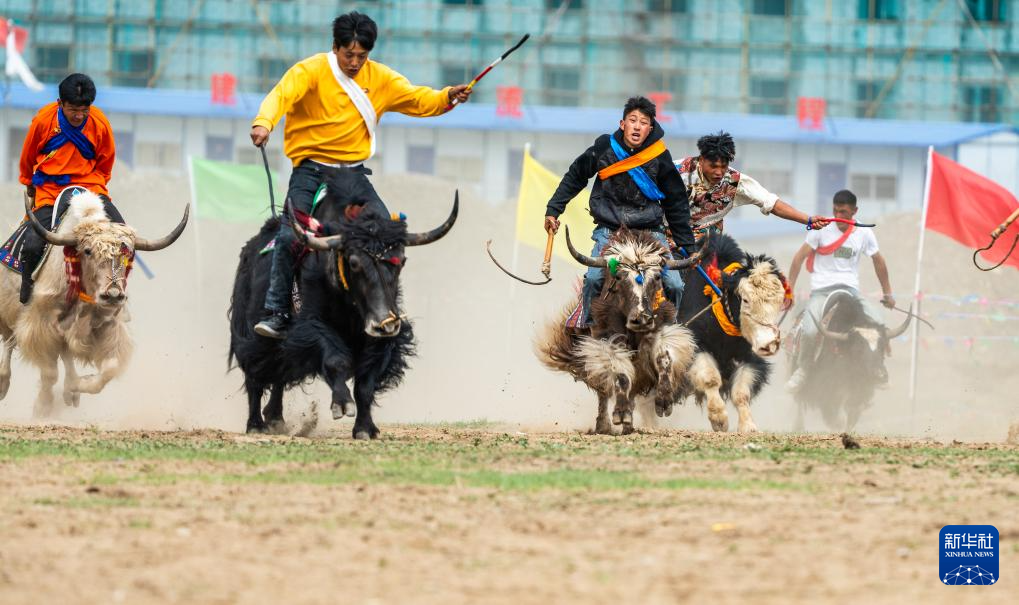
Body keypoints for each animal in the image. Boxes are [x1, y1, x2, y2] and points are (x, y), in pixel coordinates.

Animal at [0, 191, 189, 416]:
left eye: (129, 254)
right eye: (88, 251)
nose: (113, 295)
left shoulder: (108, 325)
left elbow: (109, 369)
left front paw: (76, 386)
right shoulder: (41, 325)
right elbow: (49, 371)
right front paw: (43, 406)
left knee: (65, 356)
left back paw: (70, 391)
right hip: (9, 312)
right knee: (9, 342)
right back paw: (3, 384)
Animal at [228, 168, 457, 439]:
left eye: (401, 261)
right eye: (354, 263)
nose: (384, 325)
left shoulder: (380, 338)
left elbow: (366, 383)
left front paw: (365, 429)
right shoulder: (308, 326)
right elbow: (335, 359)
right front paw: (343, 404)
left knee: (279, 377)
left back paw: (275, 419)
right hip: (251, 334)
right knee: (256, 375)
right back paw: (256, 425)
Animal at [536, 226, 704, 435]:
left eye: (657, 277)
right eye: (619, 278)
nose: (641, 319)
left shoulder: (661, 331)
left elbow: (664, 359)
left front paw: (664, 401)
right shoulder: (609, 340)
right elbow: (620, 372)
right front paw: (620, 413)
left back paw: (629, 425)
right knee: (604, 390)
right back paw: (605, 424)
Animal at [675, 233, 787, 433]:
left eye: (779, 302)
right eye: (745, 299)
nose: (769, 344)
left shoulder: (747, 355)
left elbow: (741, 392)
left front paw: (749, 426)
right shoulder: (694, 347)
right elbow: (711, 378)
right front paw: (719, 419)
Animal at [788, 290, 911, 431]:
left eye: (882, 347)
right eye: (857, 349)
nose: (880, 375)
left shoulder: (858, 396)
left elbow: (850, 419)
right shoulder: (828, 393)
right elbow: (837, 419)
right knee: (799, 404)